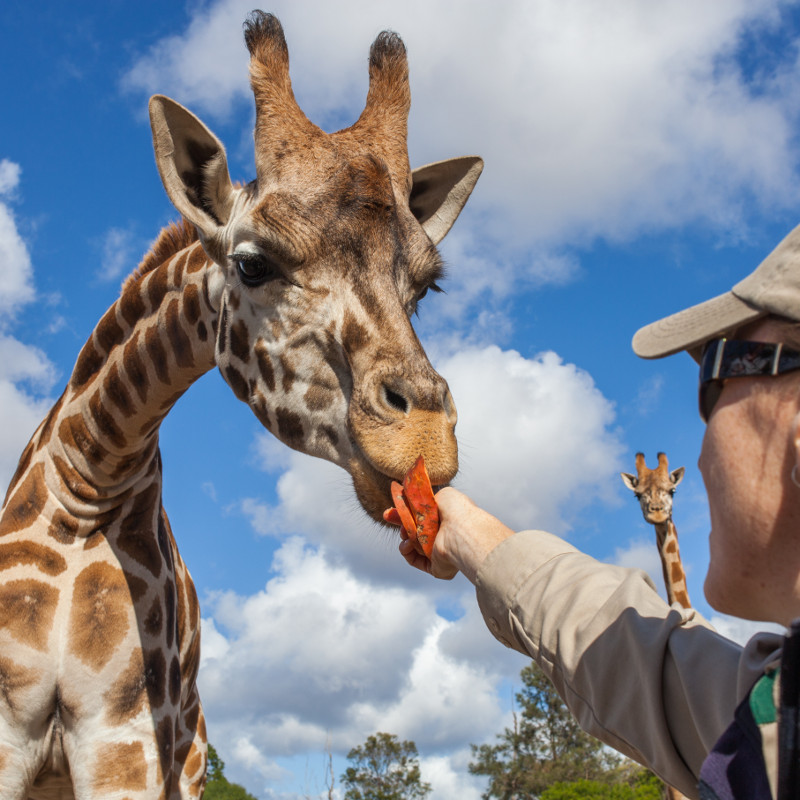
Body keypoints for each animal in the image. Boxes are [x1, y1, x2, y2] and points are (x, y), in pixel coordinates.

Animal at [0, 14, 482, 800]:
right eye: (253, 263)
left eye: (425, 287)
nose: (425, 440)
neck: (87, 482)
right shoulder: (14, 735)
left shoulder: (126, 738)